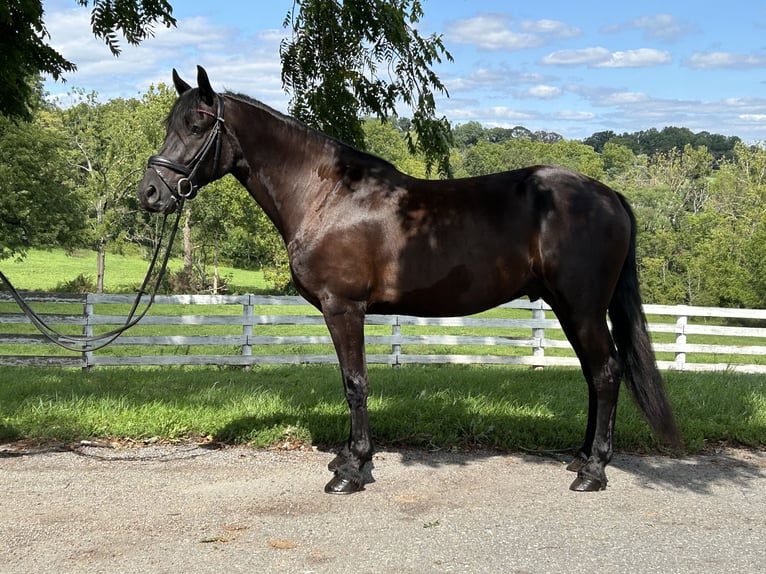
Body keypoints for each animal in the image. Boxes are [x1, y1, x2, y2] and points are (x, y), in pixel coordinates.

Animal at [138, 67, 680, 498]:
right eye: (170, 125)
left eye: (198, 125)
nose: (150, 193)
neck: (324, 194)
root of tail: (609, 195)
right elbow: (350, 382)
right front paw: (348, 459)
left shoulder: (343, 308)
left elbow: (355, 382)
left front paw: (352, 471)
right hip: (572, 308)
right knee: (595, 375)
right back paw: (581, 457)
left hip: (581, 307)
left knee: (606, 373)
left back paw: (593, 471)